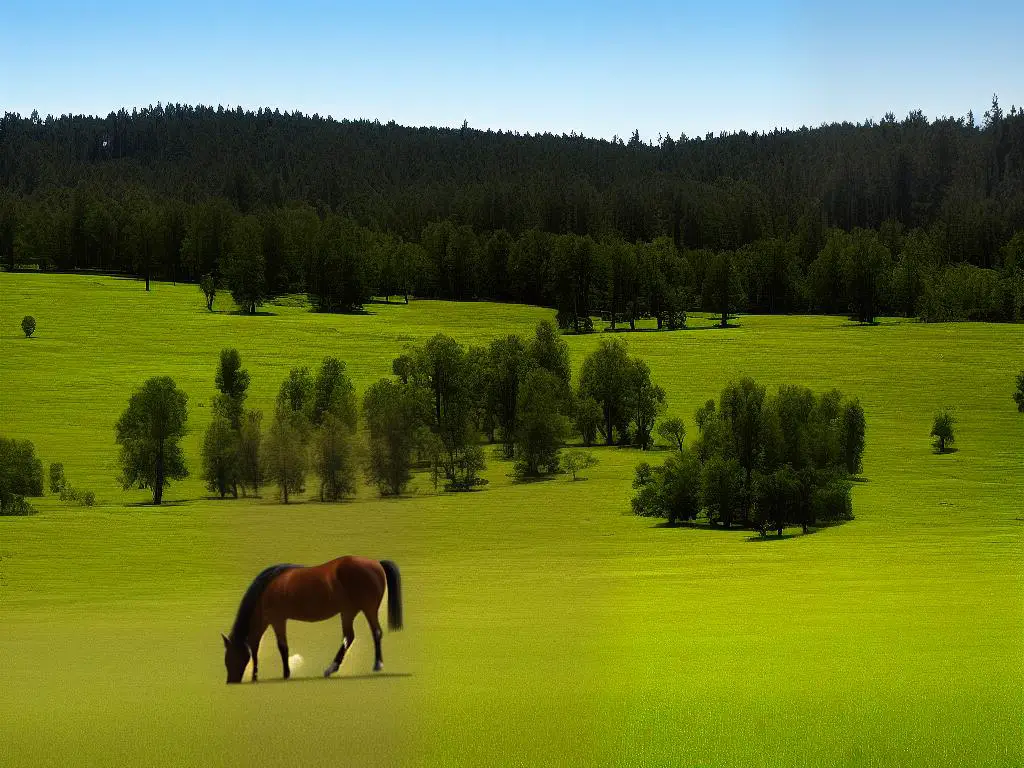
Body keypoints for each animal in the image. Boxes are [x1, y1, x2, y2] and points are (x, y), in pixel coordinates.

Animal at [222, 557, 401, 688]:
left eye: (231, 656)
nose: (230, 681)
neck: (265, 591)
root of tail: (376, 562)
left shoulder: (277, 620)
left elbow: (282, 647)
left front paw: (285, 674)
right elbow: (257, 646)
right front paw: (256, 676)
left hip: (368, 608)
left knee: (375, 632)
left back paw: (377, 665)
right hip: (348, 611)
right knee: (349, 637)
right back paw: (331, 668)